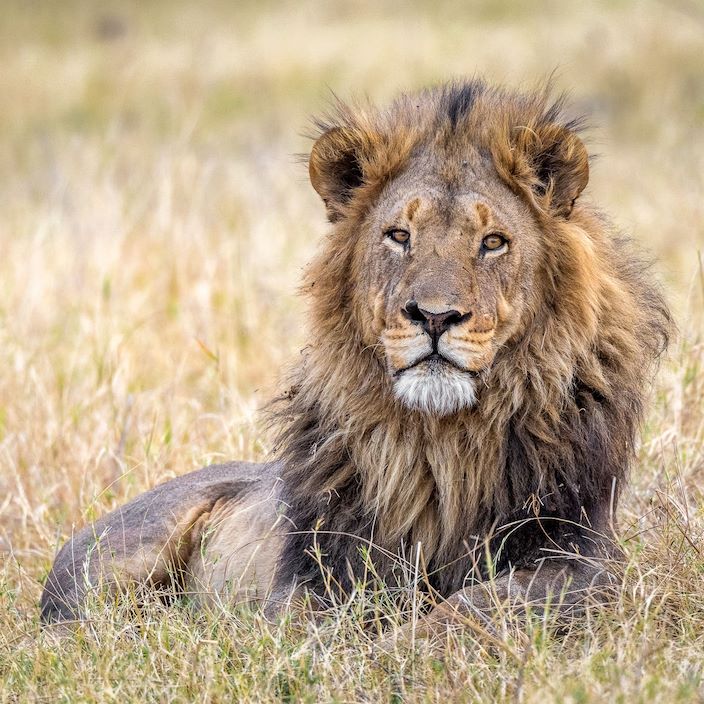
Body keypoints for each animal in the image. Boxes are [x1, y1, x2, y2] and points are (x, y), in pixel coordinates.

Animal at [41, 80, 672, 636]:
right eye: (399, 236)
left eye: (493, 242)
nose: (435, 317)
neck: (443, 444)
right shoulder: (321, 566)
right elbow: (299, 622)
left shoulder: (583, 562)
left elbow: (473, 607)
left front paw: (402, 648)